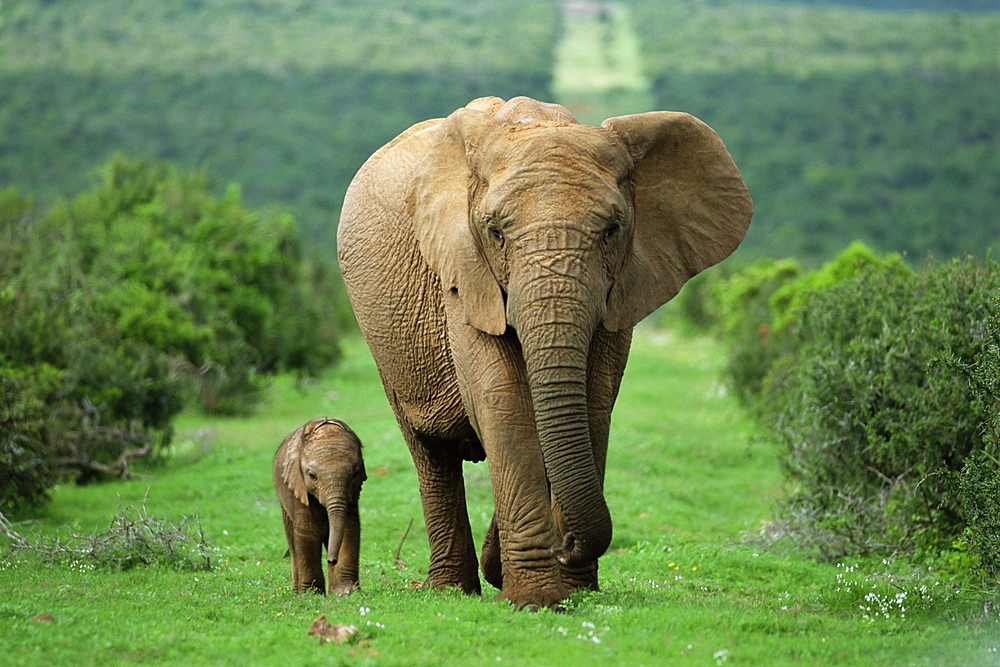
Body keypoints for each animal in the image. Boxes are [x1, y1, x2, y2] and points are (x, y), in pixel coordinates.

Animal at [274, 418, 368, 596]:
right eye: (312, 476)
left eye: (355, 473)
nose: (331, 560)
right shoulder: (298, 487)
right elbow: (308, 530)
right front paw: (311, 594)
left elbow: (349, 527)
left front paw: (345, 592)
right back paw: (296, 593)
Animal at [338, 95, 752, 612]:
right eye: (495, 233)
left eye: (612, 230)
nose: (568, 543)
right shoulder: (463, 271)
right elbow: (501, 398)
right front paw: (533, 601)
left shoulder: (623, 285)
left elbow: (594, 399)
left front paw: (573, 590)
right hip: (388, 348)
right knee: (431, 452)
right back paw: (451, 589)